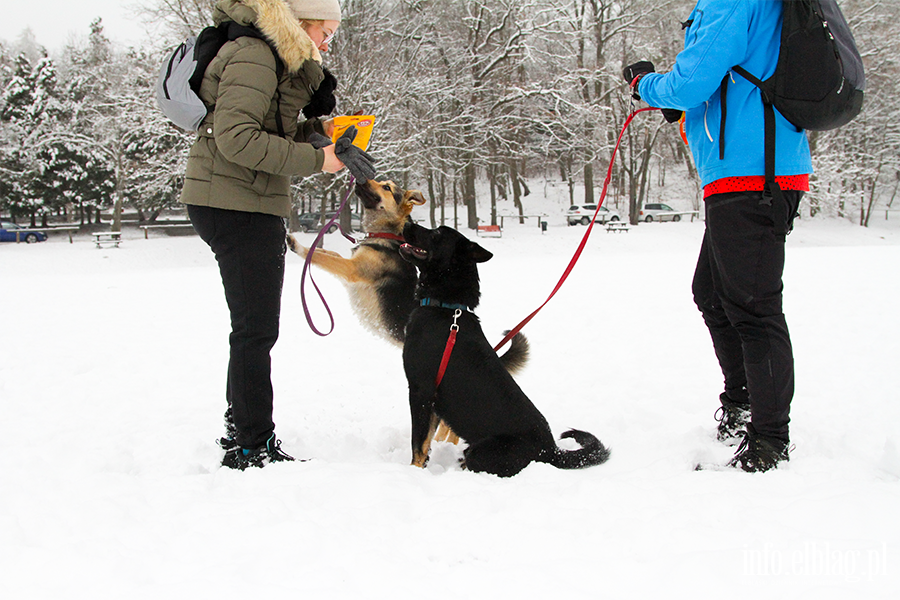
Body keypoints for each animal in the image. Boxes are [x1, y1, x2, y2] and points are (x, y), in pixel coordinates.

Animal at [400, 221, 612, 478]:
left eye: (437, 233)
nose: (406, 223)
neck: (446, 308)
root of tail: (550, 450)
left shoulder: (421, 391)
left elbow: (418, 444)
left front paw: (412, 472)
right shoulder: (430, 399)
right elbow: (426, 442)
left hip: (481, 452)